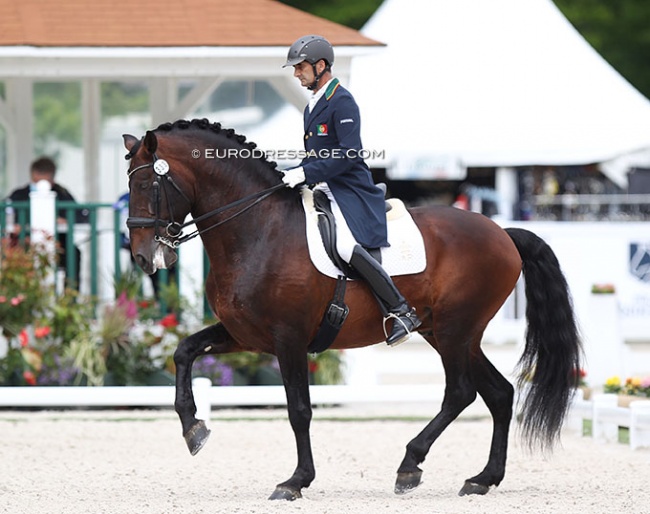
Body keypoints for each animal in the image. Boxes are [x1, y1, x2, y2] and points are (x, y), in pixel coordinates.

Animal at [124, 118, 580, 498]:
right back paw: (483, 478)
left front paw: (295, 481)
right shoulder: (244, 336)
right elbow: (183, 351)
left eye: (148, 187)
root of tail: (502, 232)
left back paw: (410, 464)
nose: (144, 258)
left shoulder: (289, 339)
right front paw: (194, 429)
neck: (257, 229)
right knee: (499, 393)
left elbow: (299, 410)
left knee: (461, 391)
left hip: (456, 331)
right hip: (448, 333)